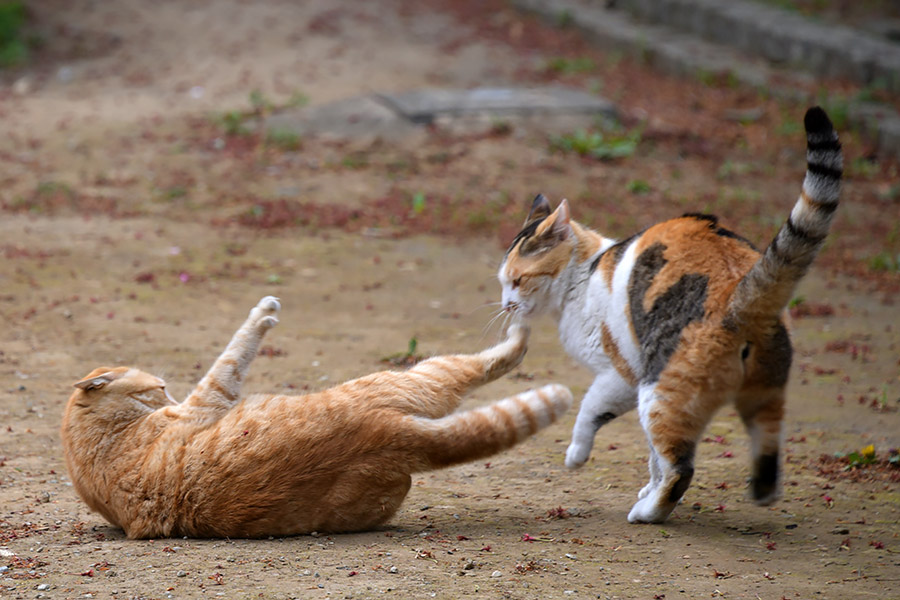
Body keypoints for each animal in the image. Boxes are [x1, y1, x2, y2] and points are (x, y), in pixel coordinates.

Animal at [59, 298, 572, 540]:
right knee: (488, 361)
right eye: (158, 388)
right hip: (414, 380)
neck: (98, 445)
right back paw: (521, 329)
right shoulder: (209, 397)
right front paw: (263, 313)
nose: (169, 390)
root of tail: (387, 436)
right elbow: (234, 352)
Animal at [496, 105, 840, 524]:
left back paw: (648, 513)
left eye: (516, 280)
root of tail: (741, 291)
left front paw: (577, 455)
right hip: (762, 396)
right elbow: (651, 456)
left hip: (658, 392)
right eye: (503, 282)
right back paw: (756, 494)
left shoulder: (621, 375)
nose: (505, 304)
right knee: (762, 454)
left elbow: (590, 411)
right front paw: (648, 483)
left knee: (681, 468)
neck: (585, 274)